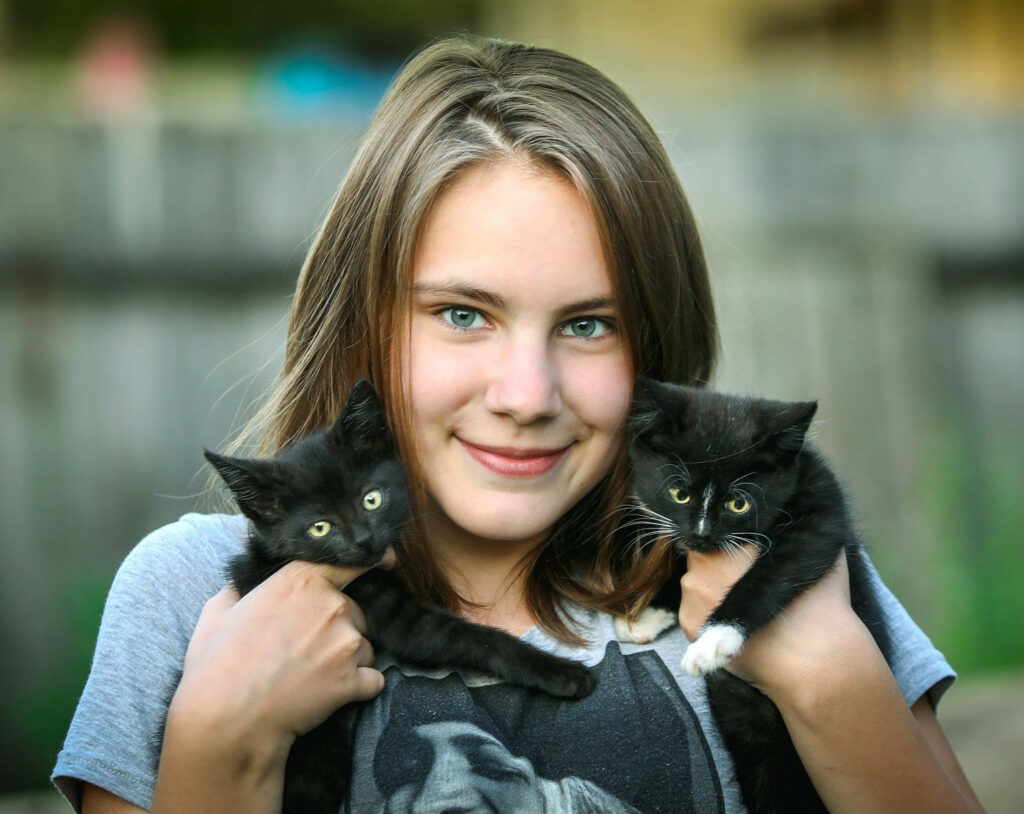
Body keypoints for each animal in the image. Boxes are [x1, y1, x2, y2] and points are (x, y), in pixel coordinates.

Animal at [200, 380, 598, 814]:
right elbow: (477, 638)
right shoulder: (392, 612)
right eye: (320, 527)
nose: (364, 540)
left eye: (371, 499)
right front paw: (561, 672)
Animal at [618, 380, 892, 814]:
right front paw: (647, 613)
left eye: (738, 503)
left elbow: (769, 576)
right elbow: (682, 557)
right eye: (679, 494)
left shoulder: (820, 513)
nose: (702, 533)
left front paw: (713, 639)